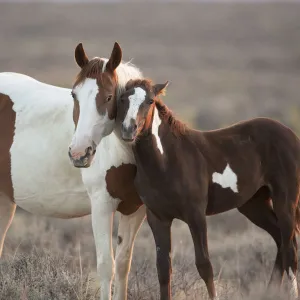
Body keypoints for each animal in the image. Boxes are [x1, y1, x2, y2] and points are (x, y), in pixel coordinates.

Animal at [118, 78, 300, 298]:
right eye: (122, 98)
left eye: (150, 101)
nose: (129, 129)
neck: (166, 161)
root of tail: (290, 134)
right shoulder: (158, 218)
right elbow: (163, 268)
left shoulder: (196, 215)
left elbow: (204, 265)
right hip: (254, 205)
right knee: (280, 240)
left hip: (285, 201)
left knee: (291, 251)